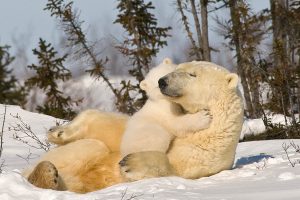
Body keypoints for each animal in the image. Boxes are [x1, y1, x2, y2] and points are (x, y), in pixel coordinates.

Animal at [25, 60, 244, 193]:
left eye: (192, 74)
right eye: (178, 68)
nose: (163, 81)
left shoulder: (206, 151)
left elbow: (175, 167)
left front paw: (131, 163)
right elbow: (114, 131)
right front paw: (59, 132)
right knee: (93, 146)